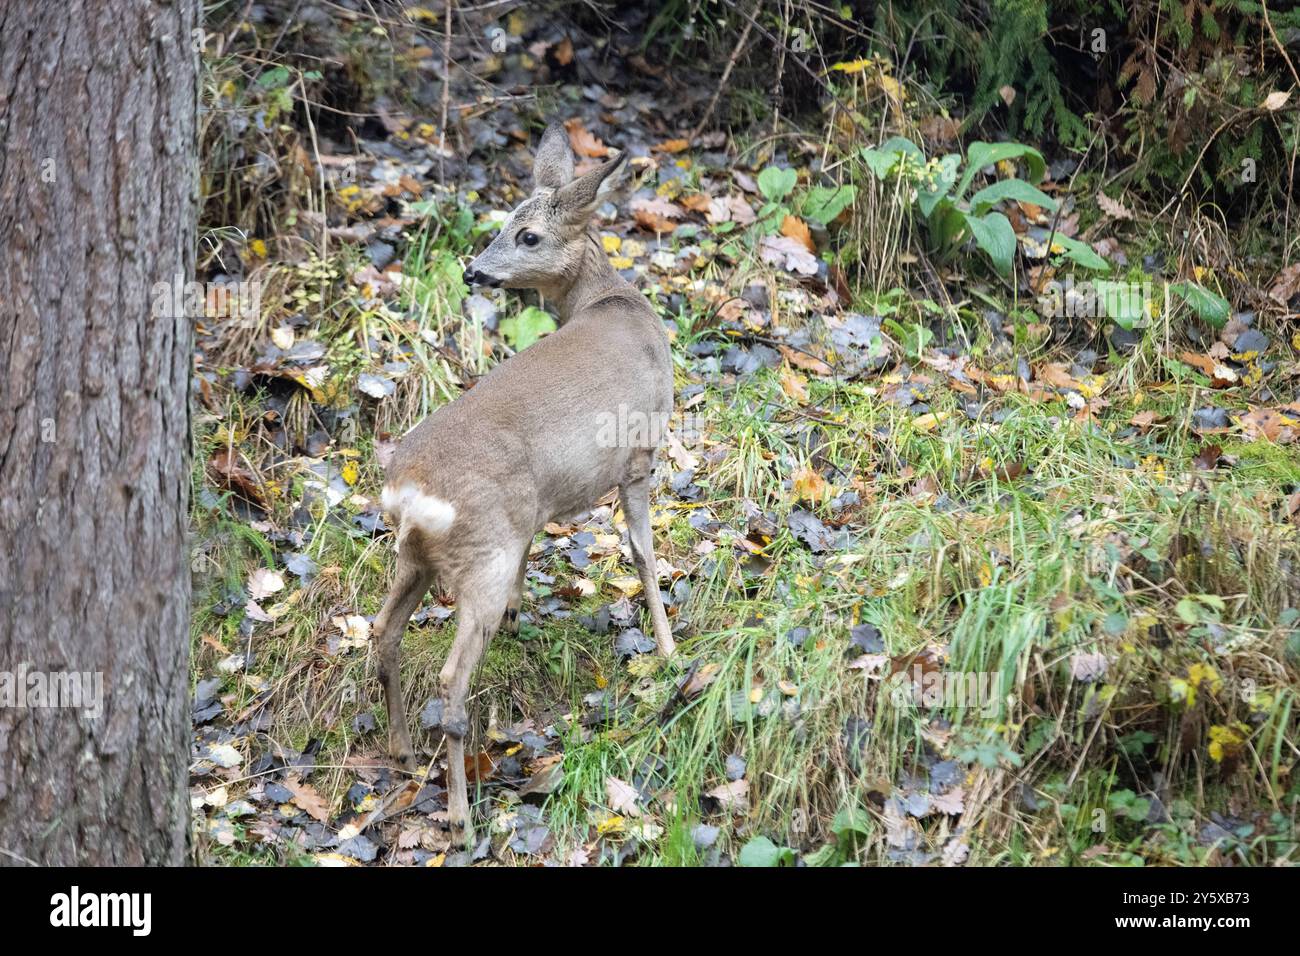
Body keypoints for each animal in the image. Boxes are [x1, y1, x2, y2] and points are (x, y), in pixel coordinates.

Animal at [374, 122, 676, 847]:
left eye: (528, 233)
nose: (472, 270)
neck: (610, 303)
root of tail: (411, 492)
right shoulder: (640, 453)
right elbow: (644, 553)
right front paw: (669, 648)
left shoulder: (537, 507)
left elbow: (541, 546)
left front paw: (519, 613)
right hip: (480, 551)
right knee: (450, 681)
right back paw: (460, 817)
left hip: (416, 556)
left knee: (383, 636)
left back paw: (400, 750)